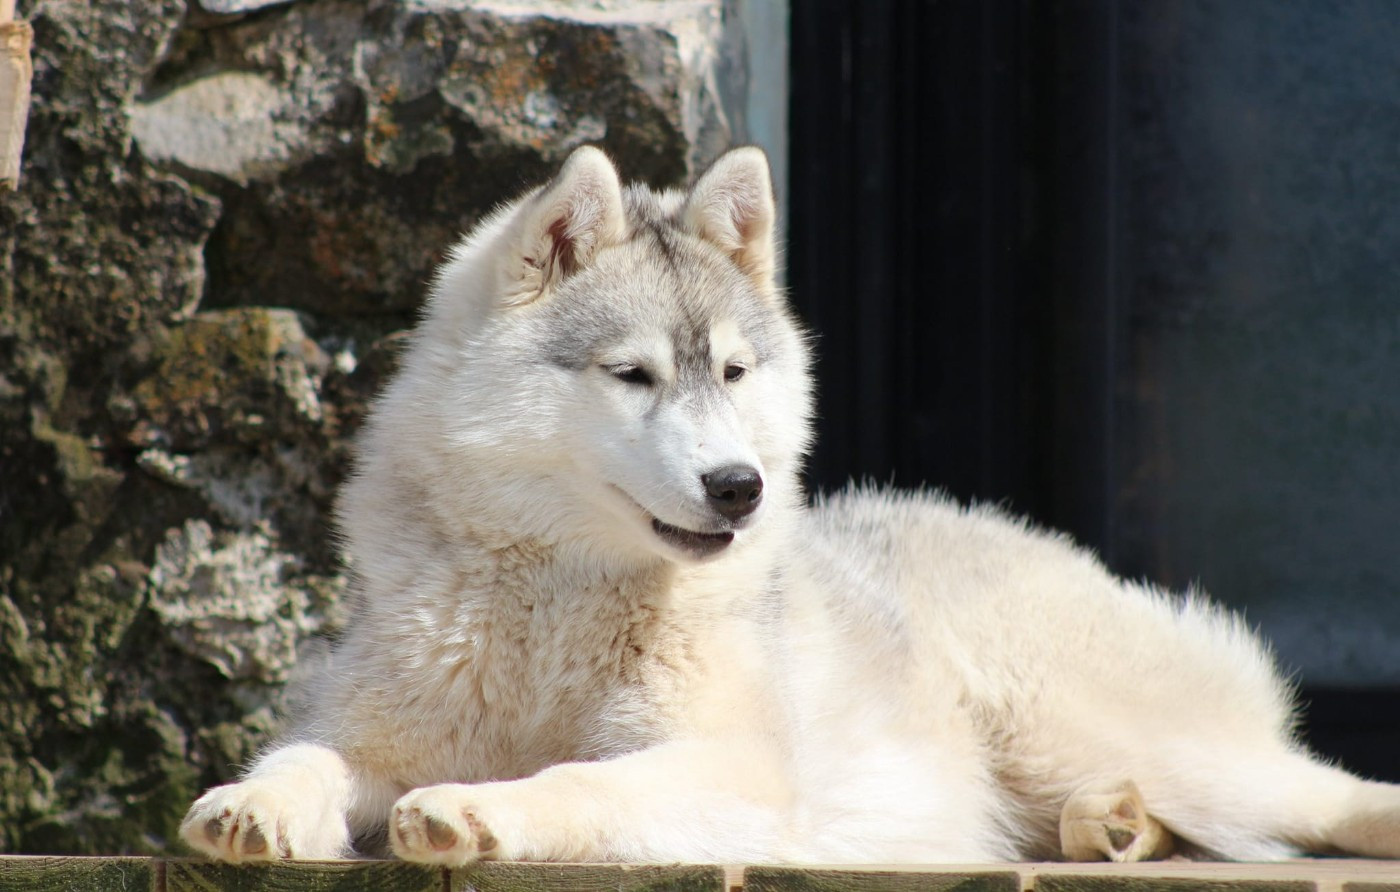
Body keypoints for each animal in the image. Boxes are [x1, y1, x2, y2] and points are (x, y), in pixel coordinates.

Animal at [181, 146, 1400, 865]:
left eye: (729, 372)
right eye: (632, 375)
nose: (740, 486)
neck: (559, 598)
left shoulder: (733, 772)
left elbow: (576, 779)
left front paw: (485, 808)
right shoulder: (369, 733)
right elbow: (308, 760)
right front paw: (252, 804)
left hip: (1080, 723)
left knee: (1319, 788)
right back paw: (1113, 824)